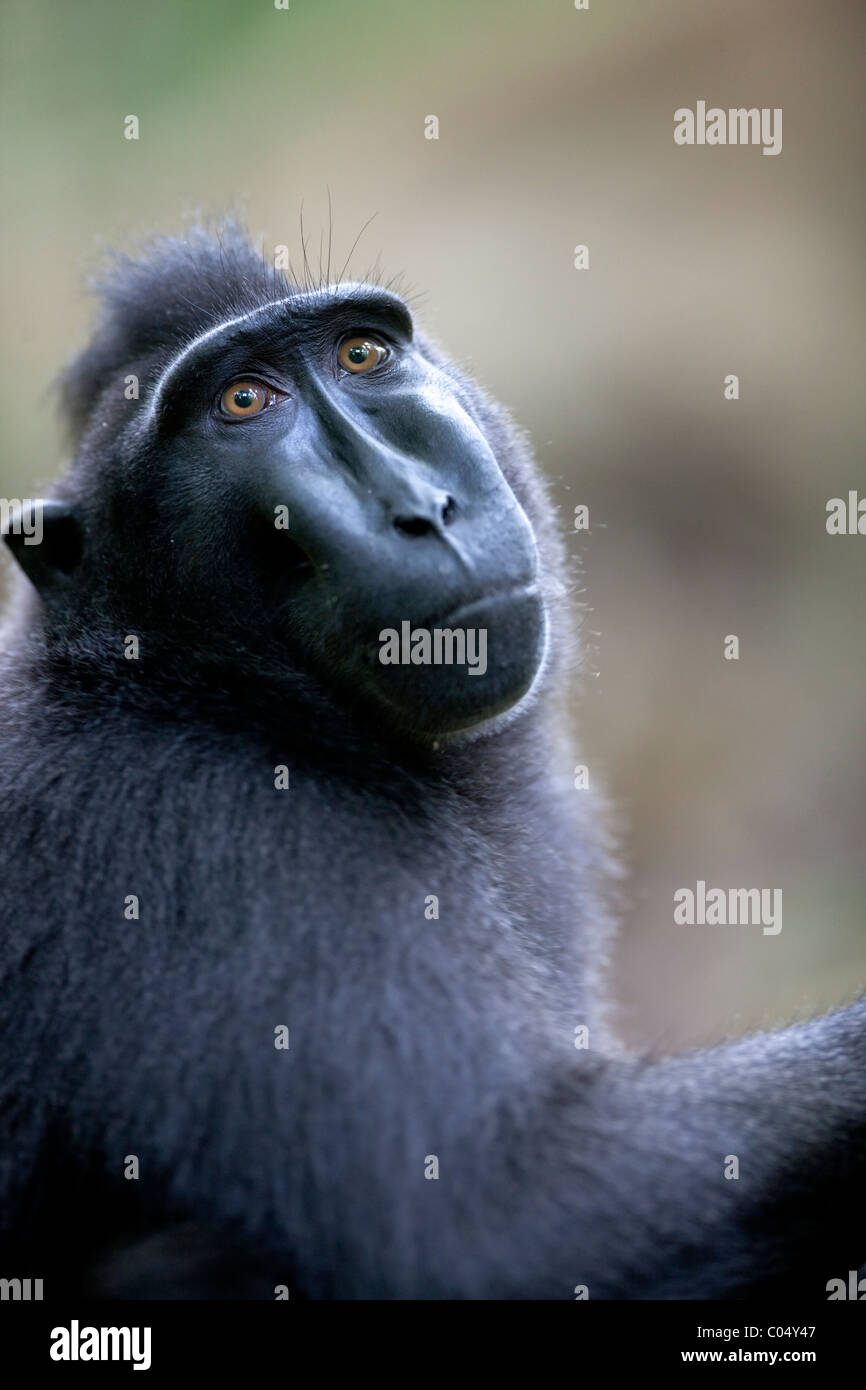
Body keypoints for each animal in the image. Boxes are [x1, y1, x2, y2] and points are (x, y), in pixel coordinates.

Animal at [0, 227, 861, 1301]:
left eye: (362, 354)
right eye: (242, 404)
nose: (420, 506)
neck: (186, 679)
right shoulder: (199, 826)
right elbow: (482, 1228)